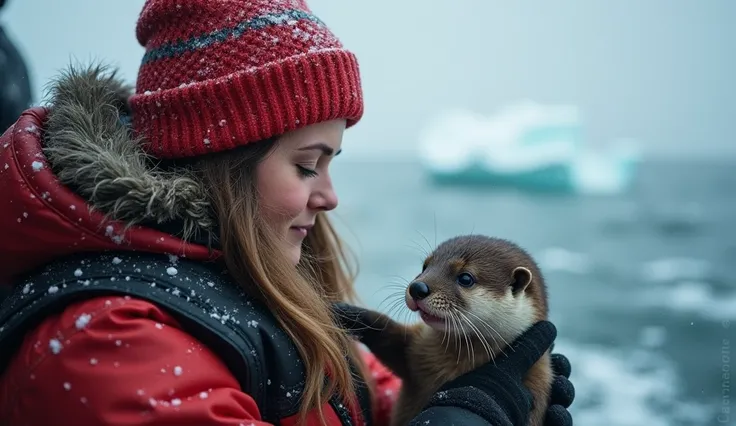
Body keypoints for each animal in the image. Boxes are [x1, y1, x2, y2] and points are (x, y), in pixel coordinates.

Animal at [350, 235, 552, 424]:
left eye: (465, 278)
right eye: (425, 266)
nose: (417, 287)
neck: (445, 366)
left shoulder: (535, 383)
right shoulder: (415, 352)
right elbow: (387, 336)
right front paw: (348, 313)